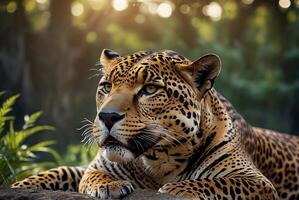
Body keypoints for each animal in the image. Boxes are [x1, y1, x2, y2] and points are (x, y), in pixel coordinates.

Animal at [11, 49, 299, 199]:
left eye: (149, 89)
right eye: (106, 87)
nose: (107, 116)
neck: (160, 159)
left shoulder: (256, 182)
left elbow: (215, 183)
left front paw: (174, 190)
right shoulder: (94, 166)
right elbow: (64, 172)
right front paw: (108, 185)